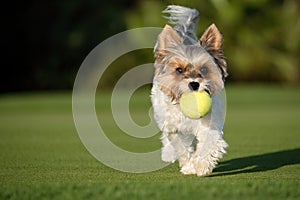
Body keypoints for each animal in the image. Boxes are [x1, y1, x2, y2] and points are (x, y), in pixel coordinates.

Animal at [151, 5, 229, 176]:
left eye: (204, 69)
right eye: (179, 70)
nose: (194, 84)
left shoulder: (209, 125)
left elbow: (208, 144)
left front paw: (200, 166)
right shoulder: (173, 128)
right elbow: (180, 146)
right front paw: (188, 166)